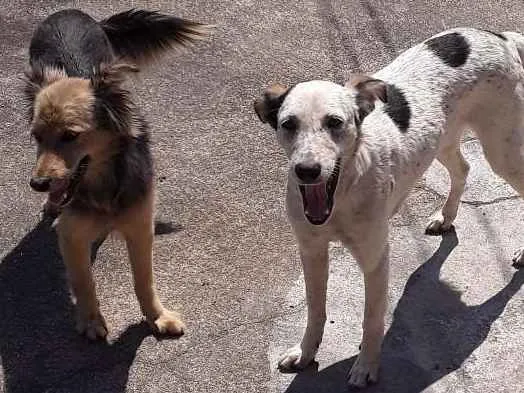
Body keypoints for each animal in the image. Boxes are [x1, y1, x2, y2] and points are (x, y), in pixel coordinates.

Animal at [23, 9, 211, 340]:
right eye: (37, 137)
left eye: (70, 136)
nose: (38, 184)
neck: (105, 184)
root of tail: (68, 12)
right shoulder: (71, 232)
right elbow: (84, 281)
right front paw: (90, 321)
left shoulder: (140, 225)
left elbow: (144, 279)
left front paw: (157, 316)